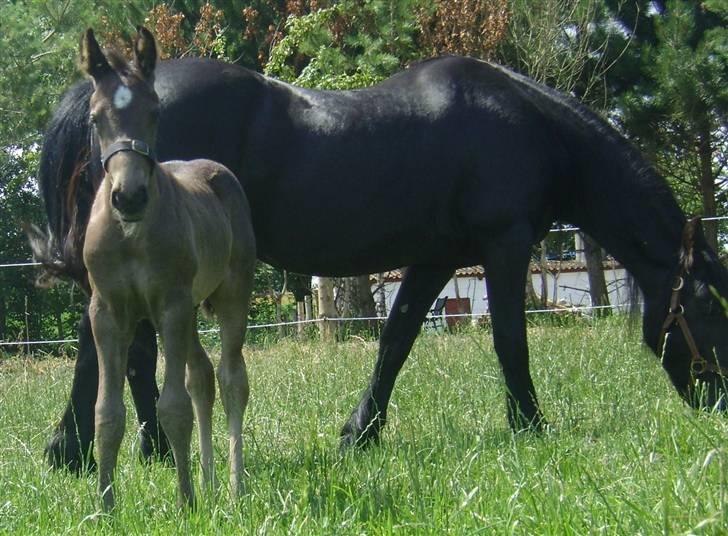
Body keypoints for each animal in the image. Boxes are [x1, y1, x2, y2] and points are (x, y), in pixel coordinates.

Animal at [28, 51, 728, 474]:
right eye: (711, 307)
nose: (719, 403)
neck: (523, 124)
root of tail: (102, 99)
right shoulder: (504, 246)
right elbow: (509, 339)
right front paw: (531, 425)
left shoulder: (435, 259)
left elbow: (396, 340)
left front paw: (358, 433)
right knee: (111, 347)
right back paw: (76, 450)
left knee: (132, 350)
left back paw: (142, 449)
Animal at [79, 26, 255, 510]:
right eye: (95, 119)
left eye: (155, 112)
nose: (129, 196)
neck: (130, 234)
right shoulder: (107, 312)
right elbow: (106, 412)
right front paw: (105, 506)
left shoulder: (170, 306)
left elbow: (172, 407)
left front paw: (186, 503)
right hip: (189, 312)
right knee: (203, 377)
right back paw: (210, 481)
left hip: (229, 295)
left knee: (232, 378)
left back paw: (232, 487)